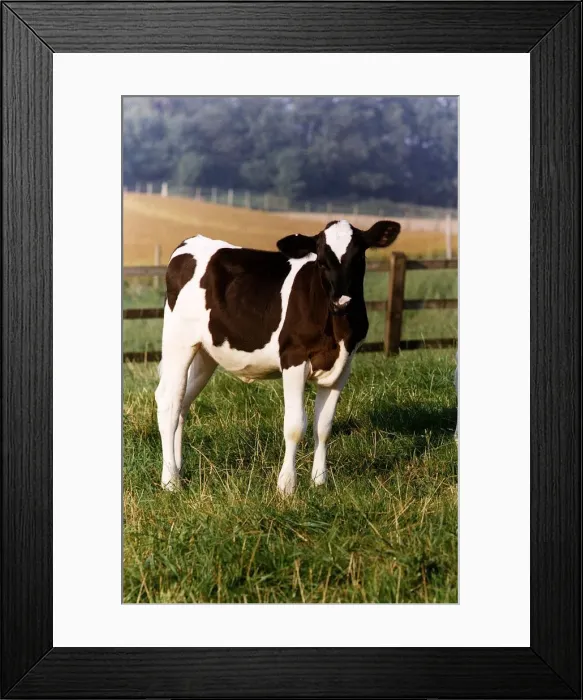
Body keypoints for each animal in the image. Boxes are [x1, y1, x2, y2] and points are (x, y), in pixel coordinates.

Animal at [155, 219, 401, 494]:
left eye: (358, 258)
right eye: (321, 261)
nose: (342, 301)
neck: (337, 330)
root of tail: (192, 242)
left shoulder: (343, 365)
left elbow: (324, 426)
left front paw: (319, 481)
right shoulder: (293, 357)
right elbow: (294, 425)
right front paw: (286, 485)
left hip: (205, 353)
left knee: (183, 404)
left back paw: (178, 469)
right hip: (178, 341)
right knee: (169, 402)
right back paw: (170, 481)